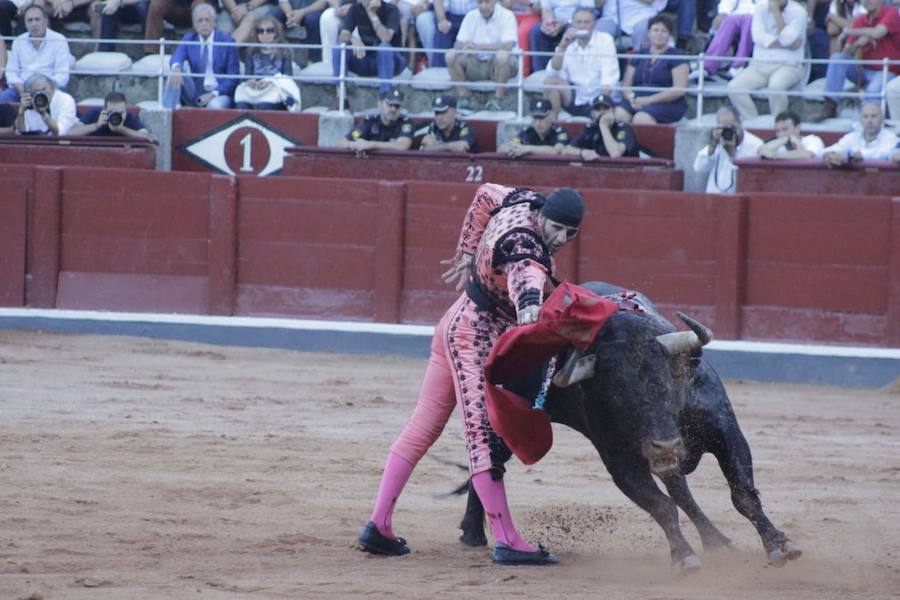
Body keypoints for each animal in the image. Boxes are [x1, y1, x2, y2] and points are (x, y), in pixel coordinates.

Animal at [460, 282, 804, 572]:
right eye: (617, 394)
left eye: (667, 380)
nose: (666, 445)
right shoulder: (621, 461)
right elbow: (661, 507)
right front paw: (684, 557)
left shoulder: (724, 429)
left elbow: (742, 493)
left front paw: (779, 544)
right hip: (503, 424)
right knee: (488, 463)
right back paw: (475, 534)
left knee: (681, 489)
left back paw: (717, 541)